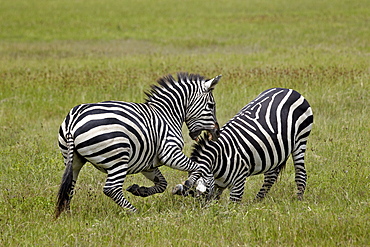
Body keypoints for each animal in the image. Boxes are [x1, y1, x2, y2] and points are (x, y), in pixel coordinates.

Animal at [55, 72, 221, 217]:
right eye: (211, 105)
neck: (167, 115)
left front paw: (140, 190)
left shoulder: (148, 164)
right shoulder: (170, 153)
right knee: (111, 189)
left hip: (73, 160)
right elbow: (200, 168)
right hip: (118, 157)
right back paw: (134, 212)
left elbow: (162, 184)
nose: (217, 133)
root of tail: (73, 122)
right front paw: (195, 187)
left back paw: (67, 214)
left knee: (70, 186)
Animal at [175, 88, 314, 202]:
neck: (219, 161)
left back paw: (298, 200)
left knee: (301, 173)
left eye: (202, 195)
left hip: (300, 139)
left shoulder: (239, 182)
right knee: (271, 176)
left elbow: (232, 208)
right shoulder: (219, 184)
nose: (202, 211)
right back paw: (257, 201)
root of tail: (291, 91)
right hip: (275, 150)